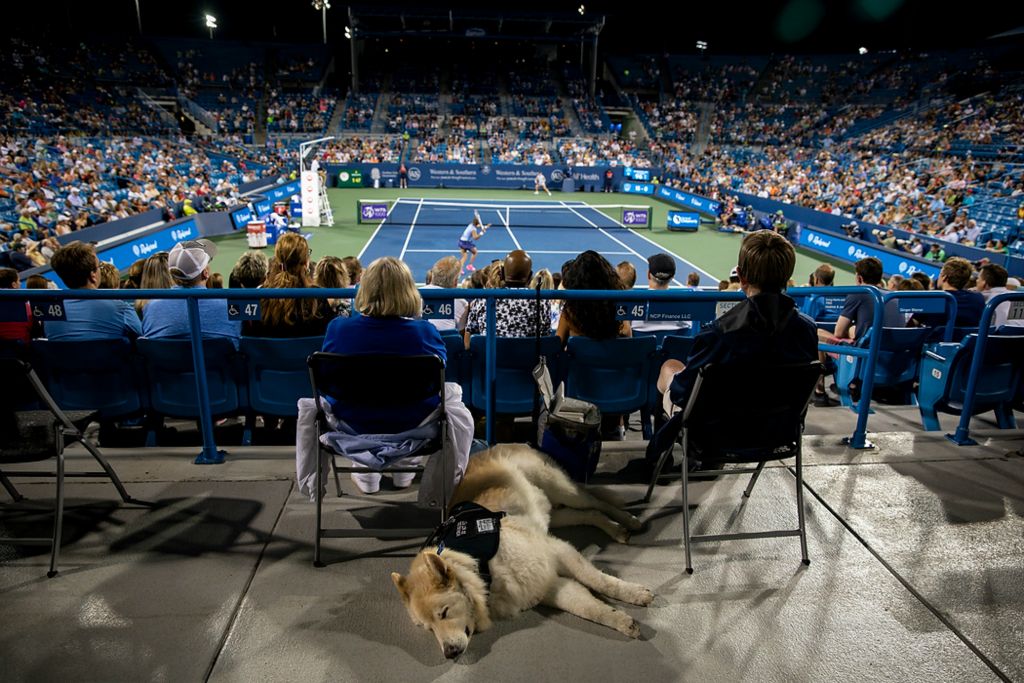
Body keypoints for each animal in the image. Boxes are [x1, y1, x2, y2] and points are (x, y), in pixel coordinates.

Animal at [387, 446, 651, 659]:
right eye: (429, 628)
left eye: (443, 613)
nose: (449, 654)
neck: (481, 569)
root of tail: (489, 448)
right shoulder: (546, 585)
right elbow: (590, 609)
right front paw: (620, 620)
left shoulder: (557, 552)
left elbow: (599, 581)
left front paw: (634, 594)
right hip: (554, 512)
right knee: (590, 514)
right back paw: (616, 529)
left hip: (563, 490)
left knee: (598, 503)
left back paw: (628, 520)